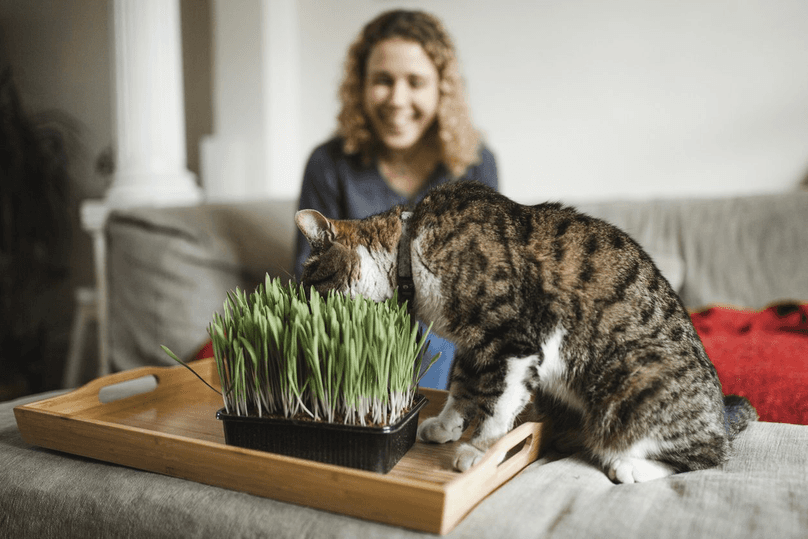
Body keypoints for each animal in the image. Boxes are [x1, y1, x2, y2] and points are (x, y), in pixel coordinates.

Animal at [296, 181, 756, 486]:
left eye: (311, 285)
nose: (304, 306)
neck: (411, 248)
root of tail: (721, 413)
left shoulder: (512, 338)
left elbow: (498, 402)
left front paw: (480, 451)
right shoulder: (472, 345)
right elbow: (462, 388)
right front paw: (445, 427)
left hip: (634, 377)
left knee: (707, 456)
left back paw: (629, 465)